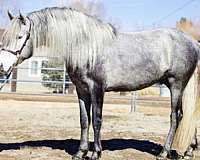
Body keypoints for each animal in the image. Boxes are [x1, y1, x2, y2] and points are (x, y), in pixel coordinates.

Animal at [0, 7, 200, 160]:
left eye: (20, 37)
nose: (2, 67)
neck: (85, 46)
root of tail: (192, 42)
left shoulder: (97, 89)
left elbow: (96, 120)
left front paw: (95, 153)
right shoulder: (82, 91)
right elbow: (84, 120)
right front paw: (80, 152)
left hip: (176, 85)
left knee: (176, 116)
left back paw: (164, 152)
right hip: (178, 87)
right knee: (189, 116)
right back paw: (188, 150)